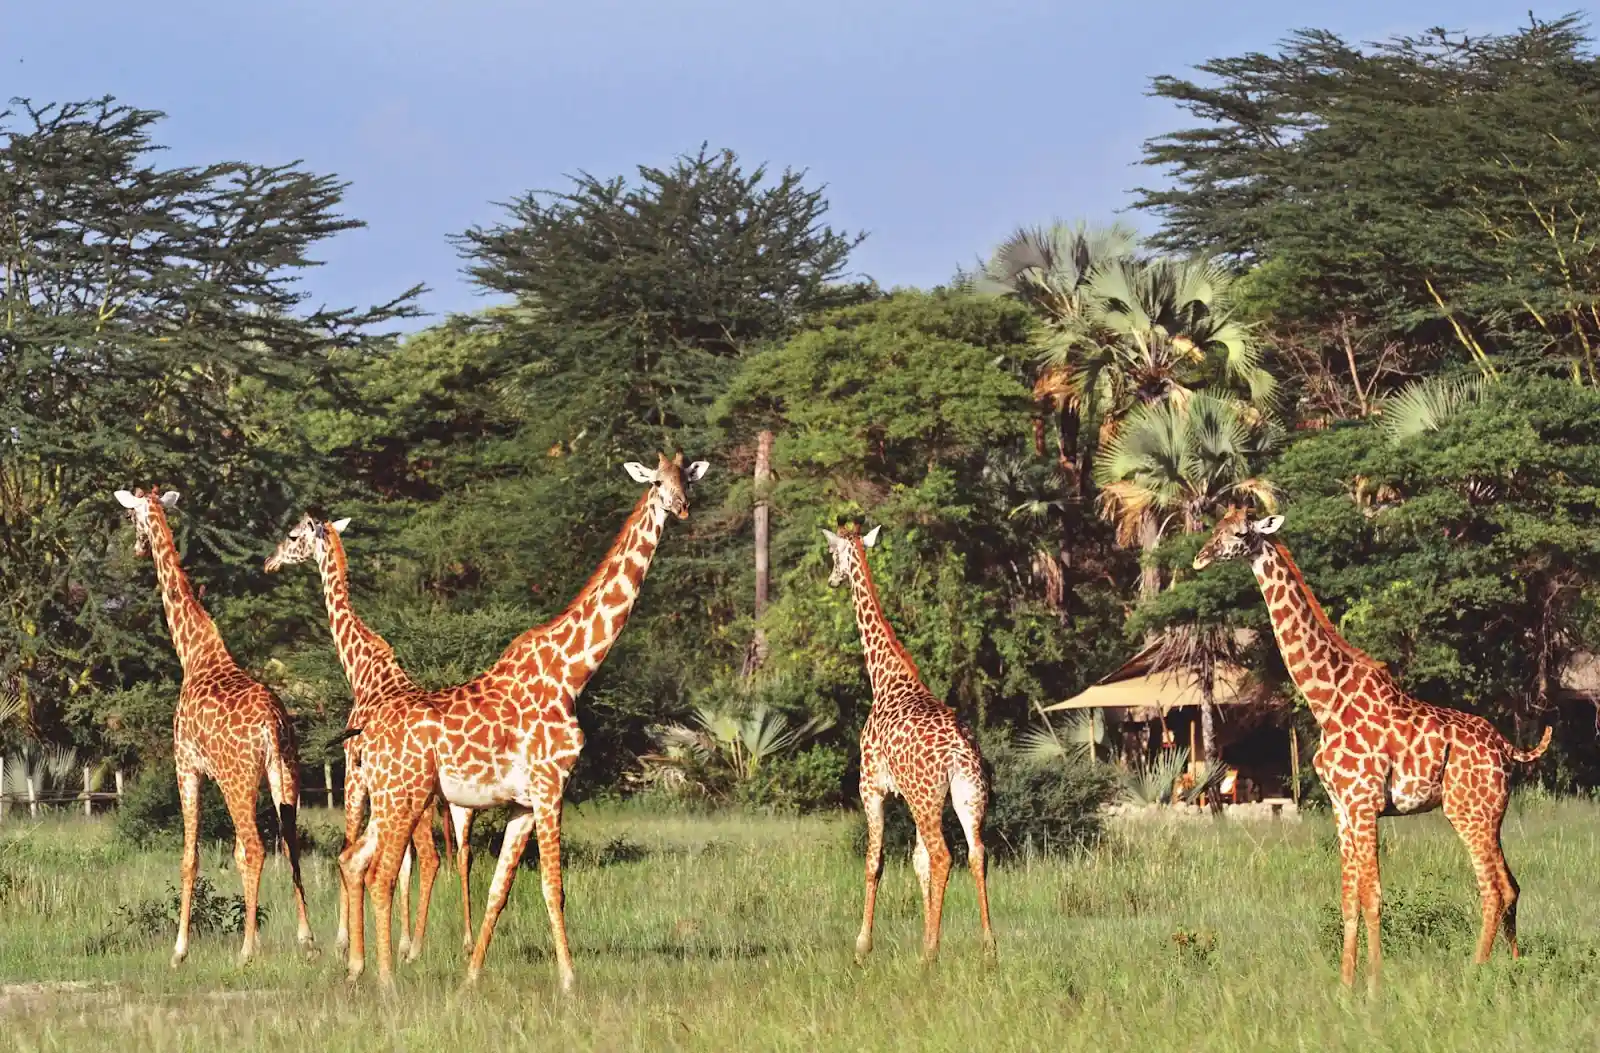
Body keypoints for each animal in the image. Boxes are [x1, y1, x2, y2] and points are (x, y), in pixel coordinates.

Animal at [112, 488, 316, 966]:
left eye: (130, 517)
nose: (136, 547)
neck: (194, 652)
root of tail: (272, 725)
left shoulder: (186, 765)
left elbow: (190, 857)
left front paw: (179, 950)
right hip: (285, 772)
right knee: (289, 842)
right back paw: (307, 939)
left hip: (237, 779)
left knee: (254, 848)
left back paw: (246, 951)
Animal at [265, 515, 474, 962]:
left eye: (293, 535)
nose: (269, 562)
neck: (362, 673)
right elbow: (396, 862)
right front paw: (395, 937)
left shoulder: (352, 772)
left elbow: (348, 844)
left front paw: (346, 941)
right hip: (449, 803)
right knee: (455, 855)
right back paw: (456, 942)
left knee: (431, 858)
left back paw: (415, 949)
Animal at [337, 452, 709, 990]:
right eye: (657, 482)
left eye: (688, 480)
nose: (680, 507)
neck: (571, 673)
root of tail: (366, 736)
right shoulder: (552, 785)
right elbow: (555, 888)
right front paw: (570, 980)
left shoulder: (523, 803)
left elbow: (501, 889)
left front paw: (471, 977)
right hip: (403, 794)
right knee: (381, 873)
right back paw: (386, 979)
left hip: (390, 797)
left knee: (355, 861)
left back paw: (357, 971)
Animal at [821, 524, 996, 966]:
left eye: (832, 555)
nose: (832, 580)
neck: (885, 678)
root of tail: (958, 756)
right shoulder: (905, 795)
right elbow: (917, 863)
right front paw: (926, 935)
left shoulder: (872, 787)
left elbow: (875, 861)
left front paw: (863, 945)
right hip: (966, 795)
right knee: (976, 853)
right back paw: (987, 946)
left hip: (925, 798)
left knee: (944, 855)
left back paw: (930, 955)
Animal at [1191, 507, 1552, 993]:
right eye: (1215, 526)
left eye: (1237, 532)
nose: (1200, 557)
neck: (1325, 699)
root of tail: (1509, 750)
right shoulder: (1341, 806)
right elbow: (1349, 895)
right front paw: (1345, 984)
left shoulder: (1363, 802)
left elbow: (1374, 894)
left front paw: (1376, 982)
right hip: (1490, 814)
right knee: (1511, 884)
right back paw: (1513, 967)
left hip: (1468, 811)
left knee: (1492, 888)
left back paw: (1476, 971)